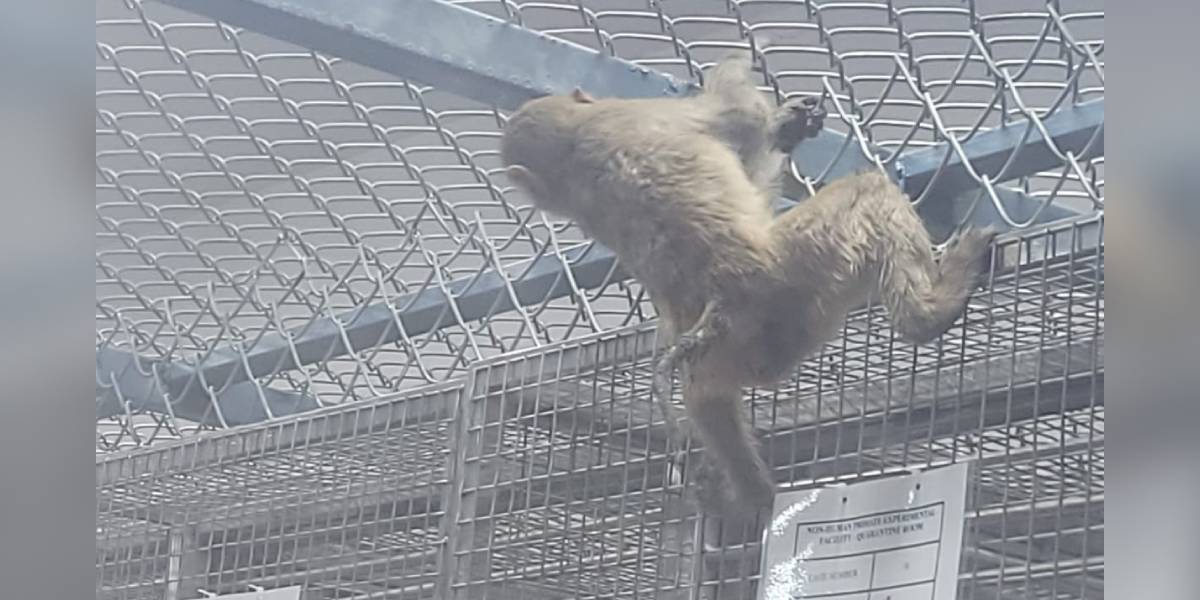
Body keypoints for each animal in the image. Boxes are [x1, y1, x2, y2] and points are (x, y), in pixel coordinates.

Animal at [500, 53, 995, 512]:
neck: (571, 152)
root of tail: (722, 306)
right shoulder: (653, 112)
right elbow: (737, 118)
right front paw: (780, 120)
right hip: (796, 273)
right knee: (867, 194)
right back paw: (928, 312)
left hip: (751, 339)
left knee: (705, 393)